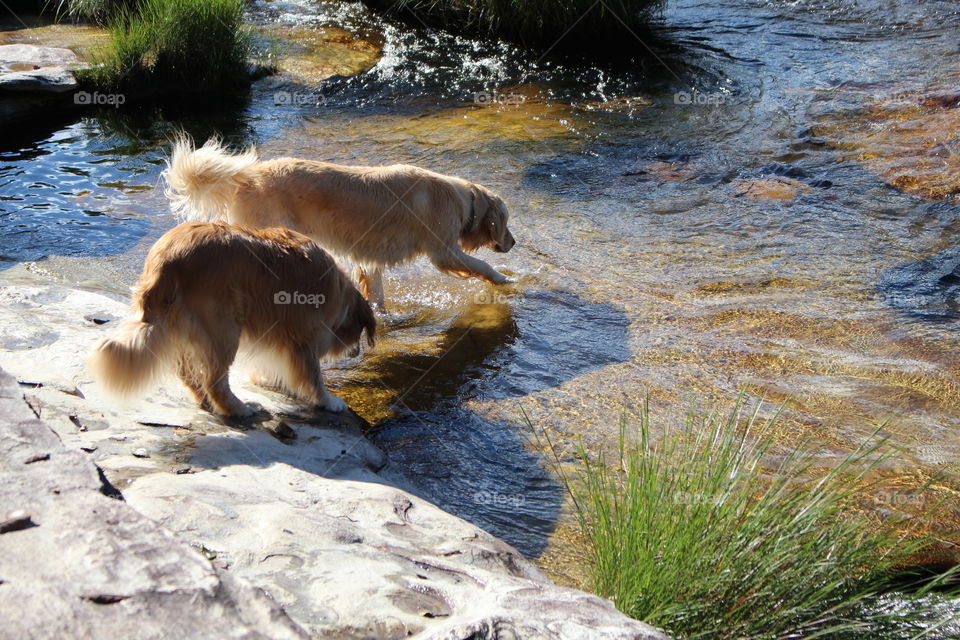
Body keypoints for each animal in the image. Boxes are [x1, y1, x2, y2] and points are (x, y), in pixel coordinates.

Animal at [87, 222, 376, 418]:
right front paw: (328, 401)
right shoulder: (303, 336)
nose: (356, 353)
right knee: (215, 380)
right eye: (358, 332)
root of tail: (165, 262)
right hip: (223, 328)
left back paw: (205, 401)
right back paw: (238, 408)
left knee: (188, 374)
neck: (338, 290)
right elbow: (313, 376)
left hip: (181, 326)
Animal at [163, 136, 516, 308]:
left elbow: (376, 292)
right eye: (506, 223)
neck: (465, 202)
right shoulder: (444, 252)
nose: (513, 242)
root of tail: (246, 175)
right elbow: (481, 265)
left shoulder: (371, 259)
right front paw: (503, 279)